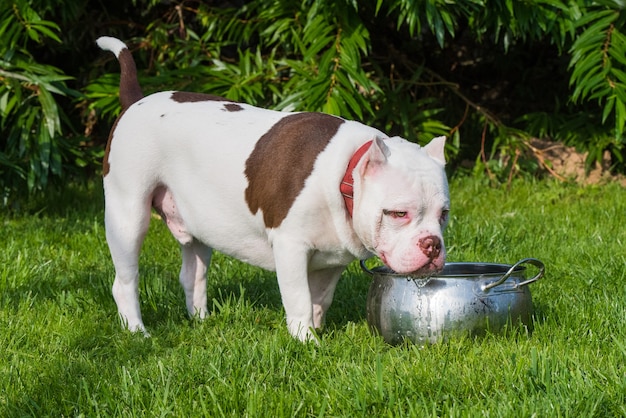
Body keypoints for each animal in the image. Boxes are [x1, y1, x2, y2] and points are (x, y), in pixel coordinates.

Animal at [96, 36, 448, 342]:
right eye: (398, 213)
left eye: (443, 215)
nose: (432, 245)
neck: (345, 176)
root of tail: (134, 102)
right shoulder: (290, 247)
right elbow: (299, 298)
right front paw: (306, 341)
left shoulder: (333, 261)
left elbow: (320, 300)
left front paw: (316, 332)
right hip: (127, 216)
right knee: (125, 280)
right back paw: (137, 332)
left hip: (196, 226)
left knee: (193, 274)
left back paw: (201, 321)